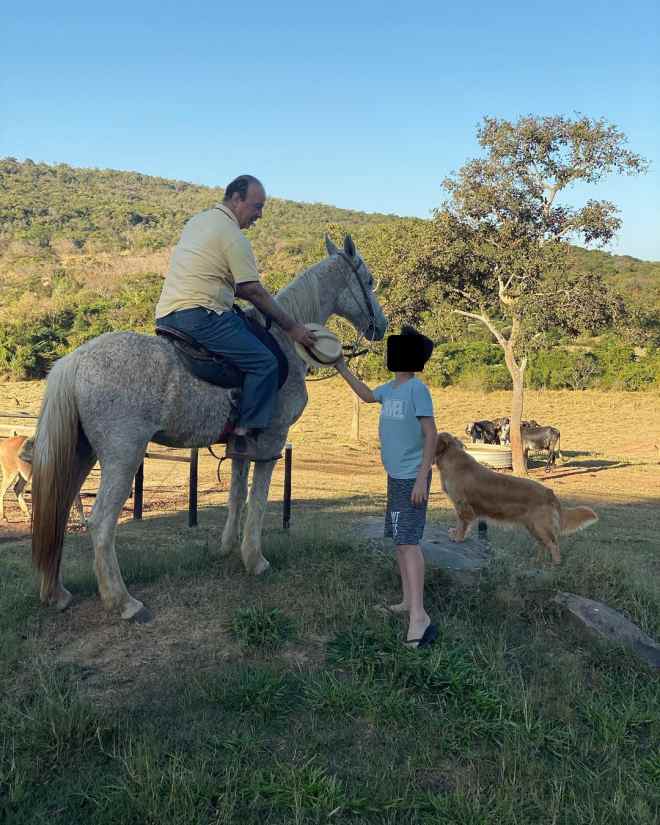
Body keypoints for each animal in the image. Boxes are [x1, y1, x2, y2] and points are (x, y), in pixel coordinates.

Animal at [31, 235, 387, 622]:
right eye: (369, 280)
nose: (381, 326)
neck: (285, 342)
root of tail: (75, 360)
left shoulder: (242, 445)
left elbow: (236, 493)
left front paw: (227, 548)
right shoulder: (273, 441)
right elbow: (258, 500)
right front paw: (255, 559)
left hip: (82, 454)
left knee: (58, 510)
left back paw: (56, 593)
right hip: (123, 457)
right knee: (99, 523)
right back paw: (123, 602)